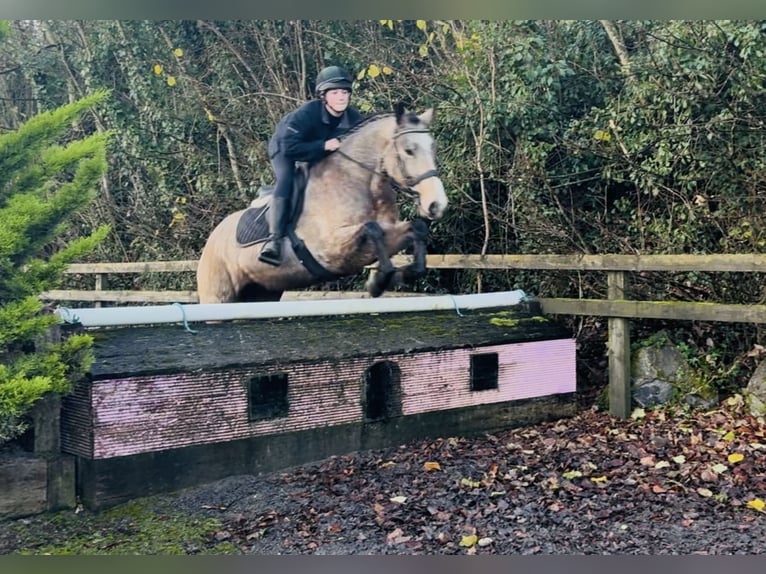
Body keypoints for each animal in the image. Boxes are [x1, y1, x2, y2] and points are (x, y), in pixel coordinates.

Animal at [196, 104, 448, 304]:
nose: (438, 204)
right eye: (408, 150)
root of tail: (211, 241)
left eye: (433, 148)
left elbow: (416, 228)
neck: (357, 181)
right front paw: (381, 279)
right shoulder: (330, 250)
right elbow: (372, 228)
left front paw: (397, 275)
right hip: (218, 297)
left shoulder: (388, 231)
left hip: (261, 293)